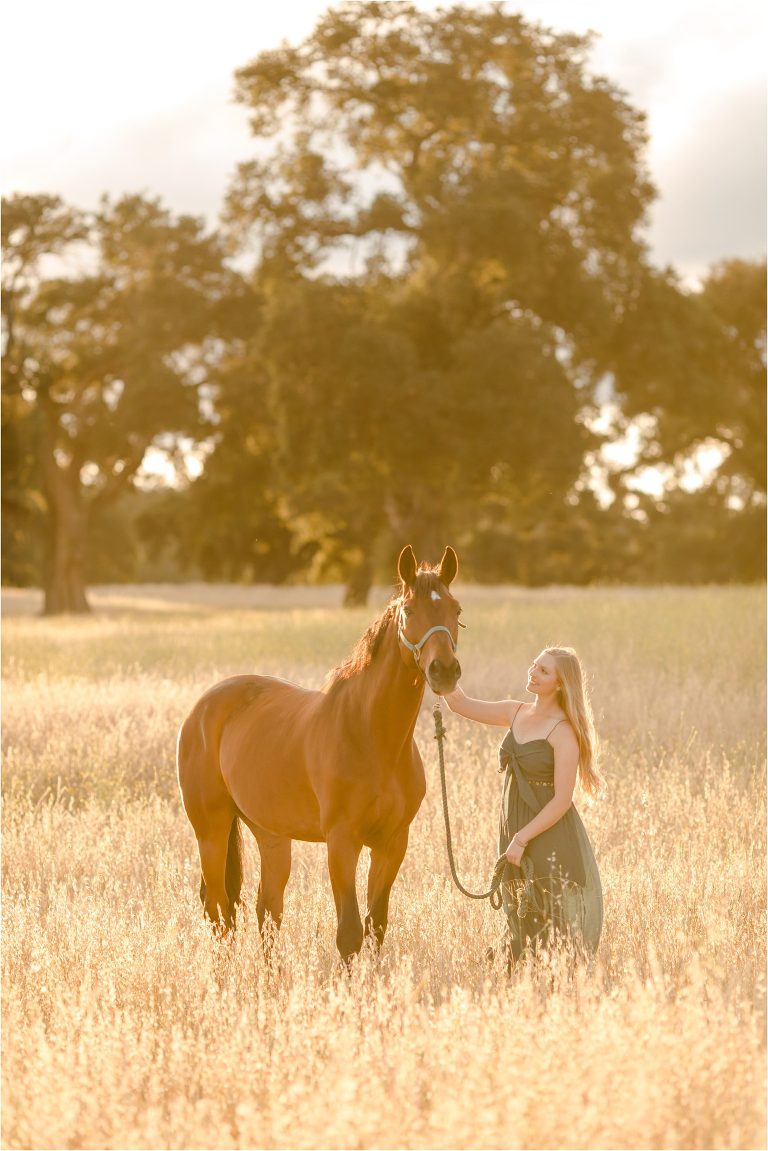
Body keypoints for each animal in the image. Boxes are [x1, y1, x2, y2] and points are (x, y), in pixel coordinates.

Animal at [177, 544, 463, 962]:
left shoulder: (393, 843)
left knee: (267, 911)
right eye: (409, 611)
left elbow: (376, 926)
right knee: (220, 913)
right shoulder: (341, 842)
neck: (373, 737)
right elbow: (350, 933)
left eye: (456, 610)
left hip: (270, 835)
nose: (444, 670)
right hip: (211, 831)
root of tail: (201, 708)